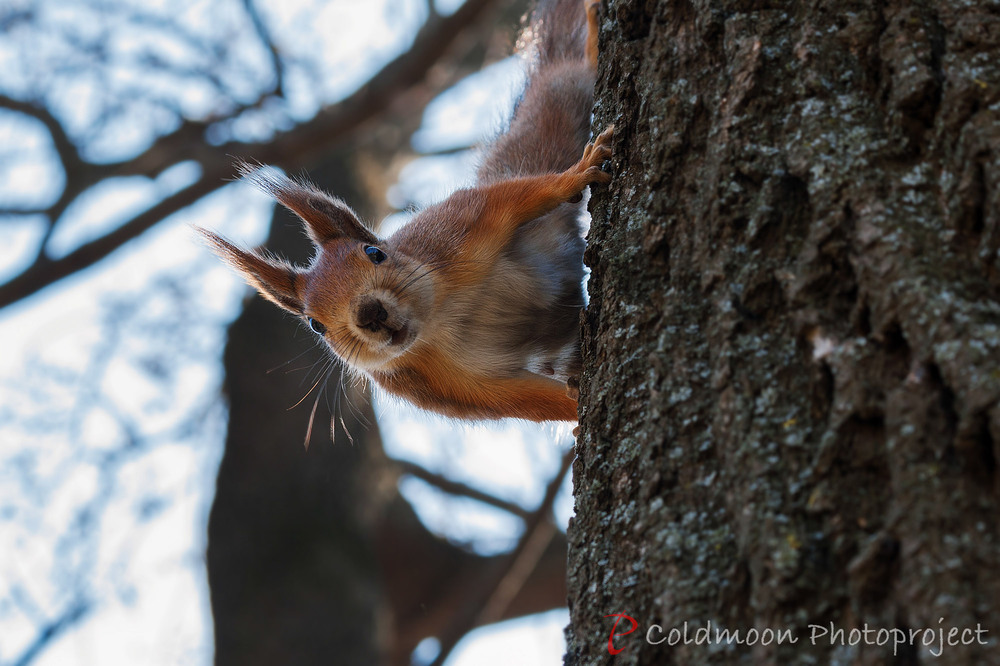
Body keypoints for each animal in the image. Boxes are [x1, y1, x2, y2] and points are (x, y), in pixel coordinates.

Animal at [201, 0, 608, 420]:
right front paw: (576, 408)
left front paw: (575, 176)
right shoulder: (446, 387)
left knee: (569, 74)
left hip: (553, 113)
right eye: (315, 325)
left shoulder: (460, 228)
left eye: (375, 252)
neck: (436, 321)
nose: (369, 314)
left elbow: (513, 198)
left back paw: (592, 38)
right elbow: (530, 401)